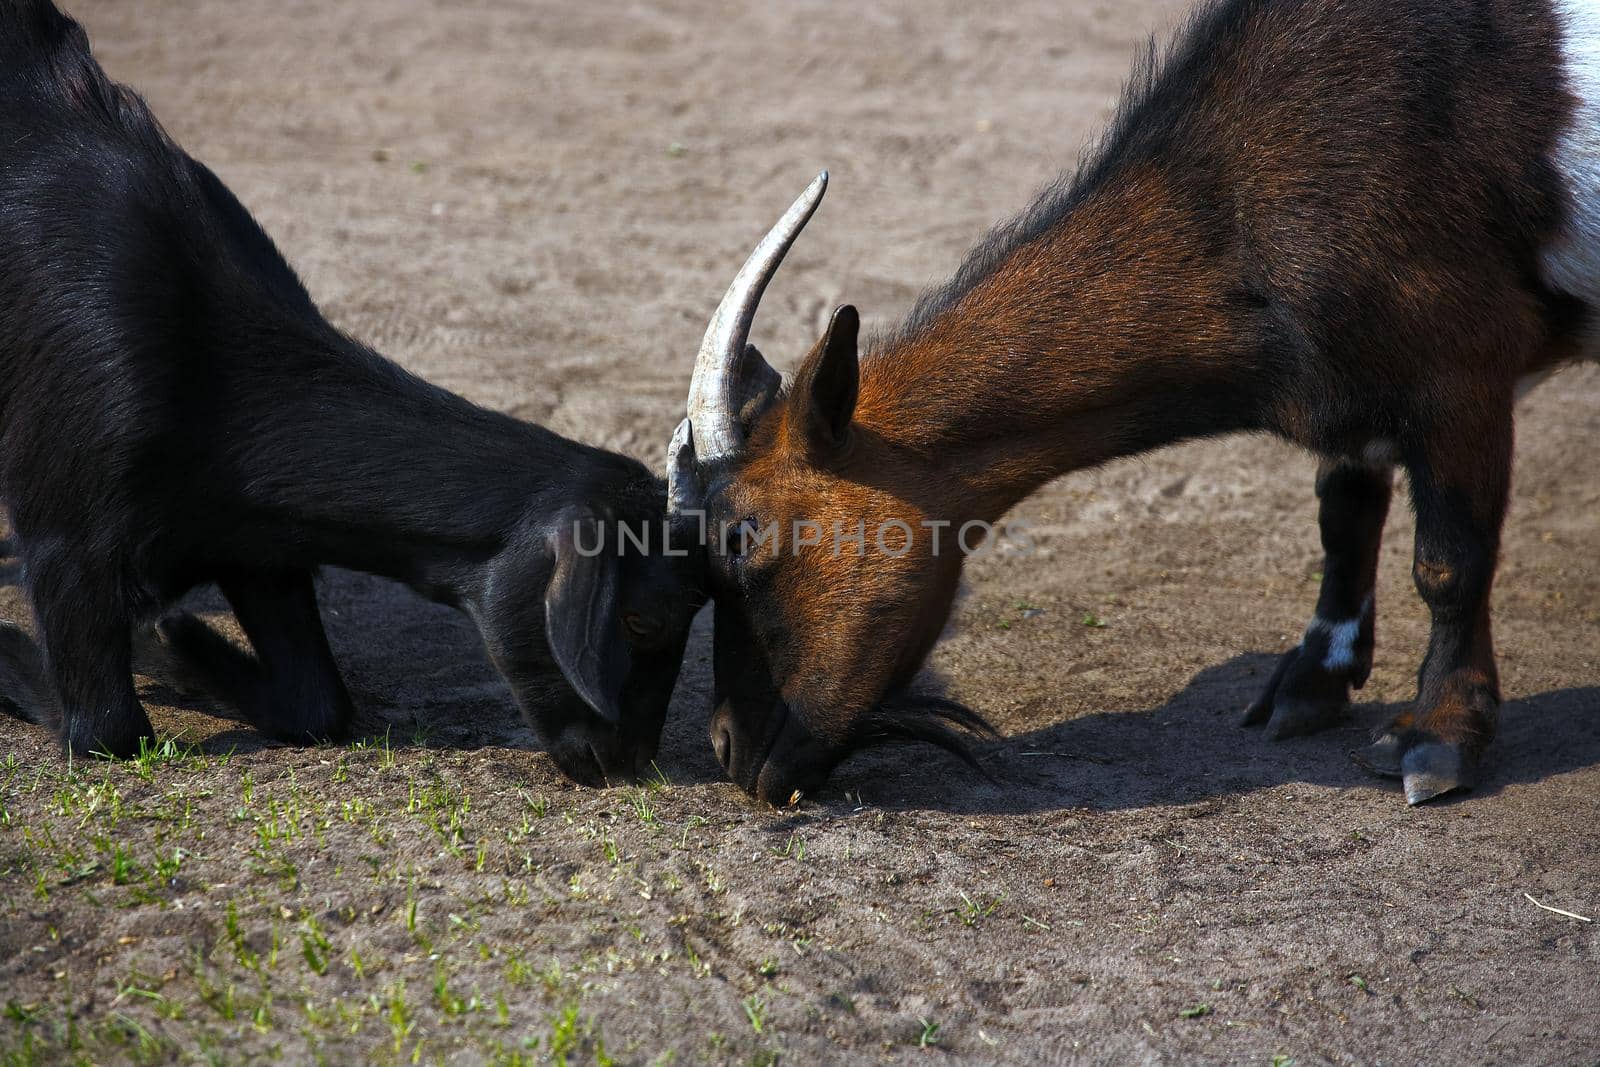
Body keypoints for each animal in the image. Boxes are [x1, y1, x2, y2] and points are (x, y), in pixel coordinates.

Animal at [0, 0, 700, 783]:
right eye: (640, 619)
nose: (628, 764)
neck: (207, 378)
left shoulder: (258, 542)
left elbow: (318, 706)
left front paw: (176, 643)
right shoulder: (65, 541)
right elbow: (106, 730)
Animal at [668, 0, 1600, 806]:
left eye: (741, 536)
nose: (727, 750)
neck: (1234, 194)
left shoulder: (1463, 370)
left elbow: (1448, 561)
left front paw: (1435, 740)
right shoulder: (1351, 387)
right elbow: (1344, 515)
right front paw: (1311, 682)